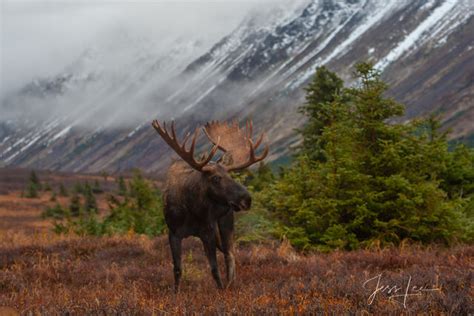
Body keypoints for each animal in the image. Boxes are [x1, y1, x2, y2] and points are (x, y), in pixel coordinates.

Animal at [153, 119, 268, 292]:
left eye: (230, 175)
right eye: (215, 178)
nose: (247, 199)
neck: (191, 209)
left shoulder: (207, 232)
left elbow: (214, 269)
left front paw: (221, 292)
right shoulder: (173, 232)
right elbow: (177, 269)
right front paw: (176, 293)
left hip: (226, 220)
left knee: (229, 253)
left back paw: (231, 285)